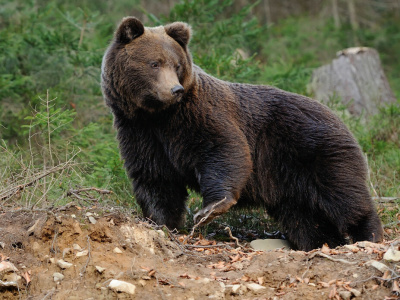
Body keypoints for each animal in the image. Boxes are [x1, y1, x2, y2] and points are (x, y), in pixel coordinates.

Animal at [101, 16, 384, 251]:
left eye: (177, 64)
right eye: (154, 63)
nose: (175, 90)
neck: (158, 115)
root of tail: (341, 118)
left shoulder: (198, 116)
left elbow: (224, 149)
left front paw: (209, 209)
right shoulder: (140, 132)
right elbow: (155, 177)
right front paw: (161, 222)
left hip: (315, 150)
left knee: (344, 196)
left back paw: (367, 234)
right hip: (289, 180)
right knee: (304, 218)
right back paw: (321, 242)